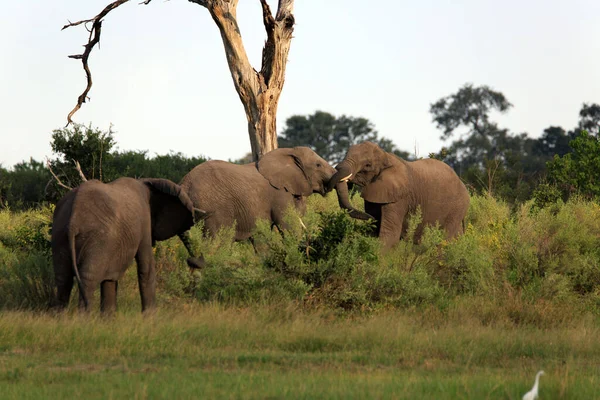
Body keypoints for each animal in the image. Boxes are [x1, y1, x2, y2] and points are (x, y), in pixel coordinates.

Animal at [49, 177, 204, 312]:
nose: (193, 261)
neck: (148, 182)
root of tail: (74, 218)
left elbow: (110, 277)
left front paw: (108, 320)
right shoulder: (143, 222)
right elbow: (146, 267)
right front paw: (151, 319)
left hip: (60, 233)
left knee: (63, 278)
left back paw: (61, 319)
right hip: (97, 237)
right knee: (88, 278)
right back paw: (83, 319)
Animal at [178, 145, 370, 264]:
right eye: (317, 165)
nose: (371, 217)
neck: (288, 153)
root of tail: (184, 184)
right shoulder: (280, 194)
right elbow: (288, 226)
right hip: (213, 209)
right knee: (218, 242)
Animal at [326, 141, 472, 247]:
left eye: (368, 165)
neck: (386, 157)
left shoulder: (399, 197)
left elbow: (389, 235)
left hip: (457, 207)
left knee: (445, 239)